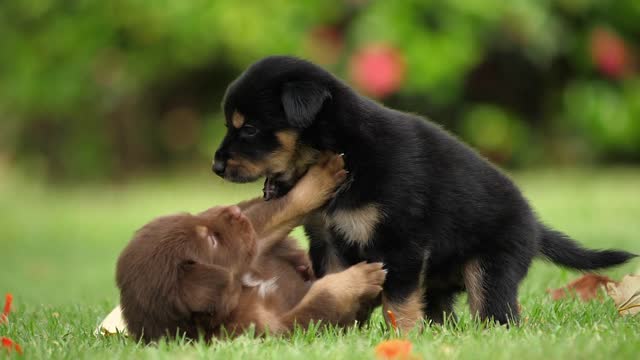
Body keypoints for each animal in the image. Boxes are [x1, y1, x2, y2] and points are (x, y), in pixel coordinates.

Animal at [116, 154, 384, 340]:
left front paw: (320, 177)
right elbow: (321, 300)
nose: (233, 210)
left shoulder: (253, 246)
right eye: (212, 241)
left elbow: (276, 211)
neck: (242, 289)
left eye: (192, 217)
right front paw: (359, 279)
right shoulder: (273, 330)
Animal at [211, 55, 636, 330]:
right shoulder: (327, 241)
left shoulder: (400, 243)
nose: (215, 167)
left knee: (497, 312)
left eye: (249, 129)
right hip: (439, 282)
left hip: (491, 268)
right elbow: (335, 284)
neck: (345, 150)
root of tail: (535, 224)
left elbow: (397, 301)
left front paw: (402, 338)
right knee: (444, 310)